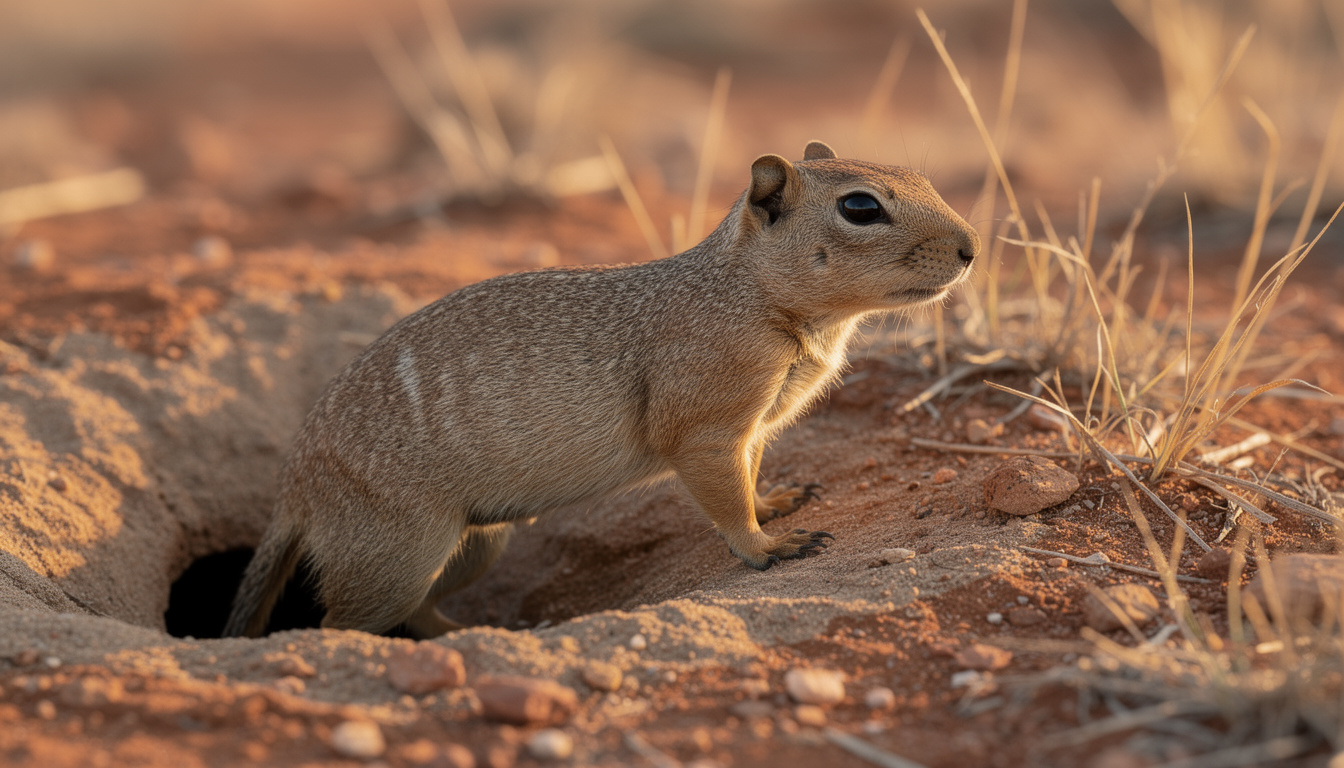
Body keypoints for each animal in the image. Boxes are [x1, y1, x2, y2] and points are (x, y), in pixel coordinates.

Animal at [224, 141, 980, 639]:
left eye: (920, 175)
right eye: (860, 207)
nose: (973, 247)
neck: (748, 293)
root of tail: (295, 484)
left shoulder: (755, 425)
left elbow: (752, 472)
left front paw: (779, 501)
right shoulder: (708, 425)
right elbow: (724, 494)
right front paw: (767, 545)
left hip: (476, 544)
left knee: (417, 608)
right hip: (396, 549)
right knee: (339, 622)